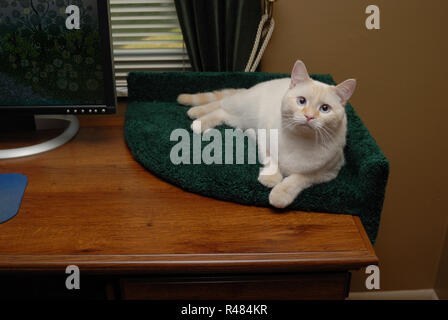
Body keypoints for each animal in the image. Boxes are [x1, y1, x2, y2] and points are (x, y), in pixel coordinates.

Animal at [177, 60, 356, 208]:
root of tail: (254, 87)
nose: (309, 116)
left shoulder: (328, 172)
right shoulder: (265, 138)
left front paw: (280, 194)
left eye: (325, 108)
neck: (300, 141)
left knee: (222, 112)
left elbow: (299, 178)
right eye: (301, 101)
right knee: (220, 104)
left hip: (240, 120)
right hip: (243, 108)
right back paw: (197, 117)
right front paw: (271, 178)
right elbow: (272, 160)